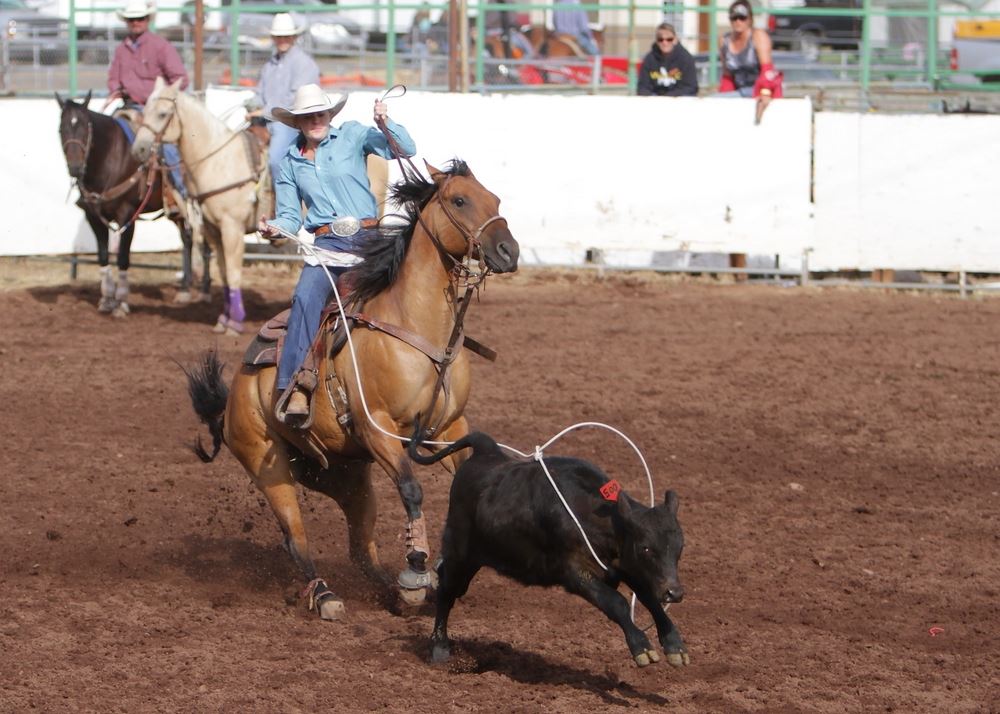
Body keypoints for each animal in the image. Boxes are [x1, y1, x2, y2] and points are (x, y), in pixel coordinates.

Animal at [409, 429, 689, 668]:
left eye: (680, 547)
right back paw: (440, 647)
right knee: (447, 590)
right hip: (460, 552)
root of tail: (485, 451)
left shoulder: (628, 567)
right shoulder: (575, 572)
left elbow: (649, 598)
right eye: (645, 548)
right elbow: (616, 602)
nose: (674, 593)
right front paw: (642, 647)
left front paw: (674, 645)